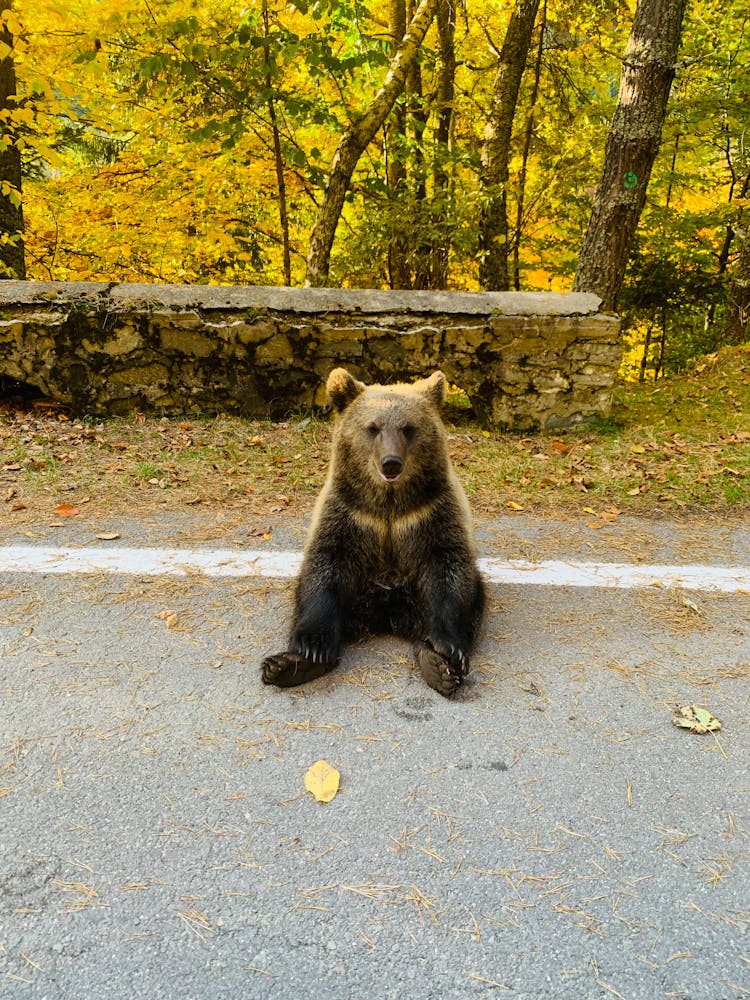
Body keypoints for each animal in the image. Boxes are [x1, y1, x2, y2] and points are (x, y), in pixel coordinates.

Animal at [262, 368, 488, 696]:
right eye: (373, 428)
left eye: (408, 428)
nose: (391, 462)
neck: (388, 505)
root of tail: (388, 614)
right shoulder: (350, 513)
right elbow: (325, 566)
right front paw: (312, 647)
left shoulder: (432, 512)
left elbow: (449, 569)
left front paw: (447, 648)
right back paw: (287, 665)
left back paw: (437, 666)